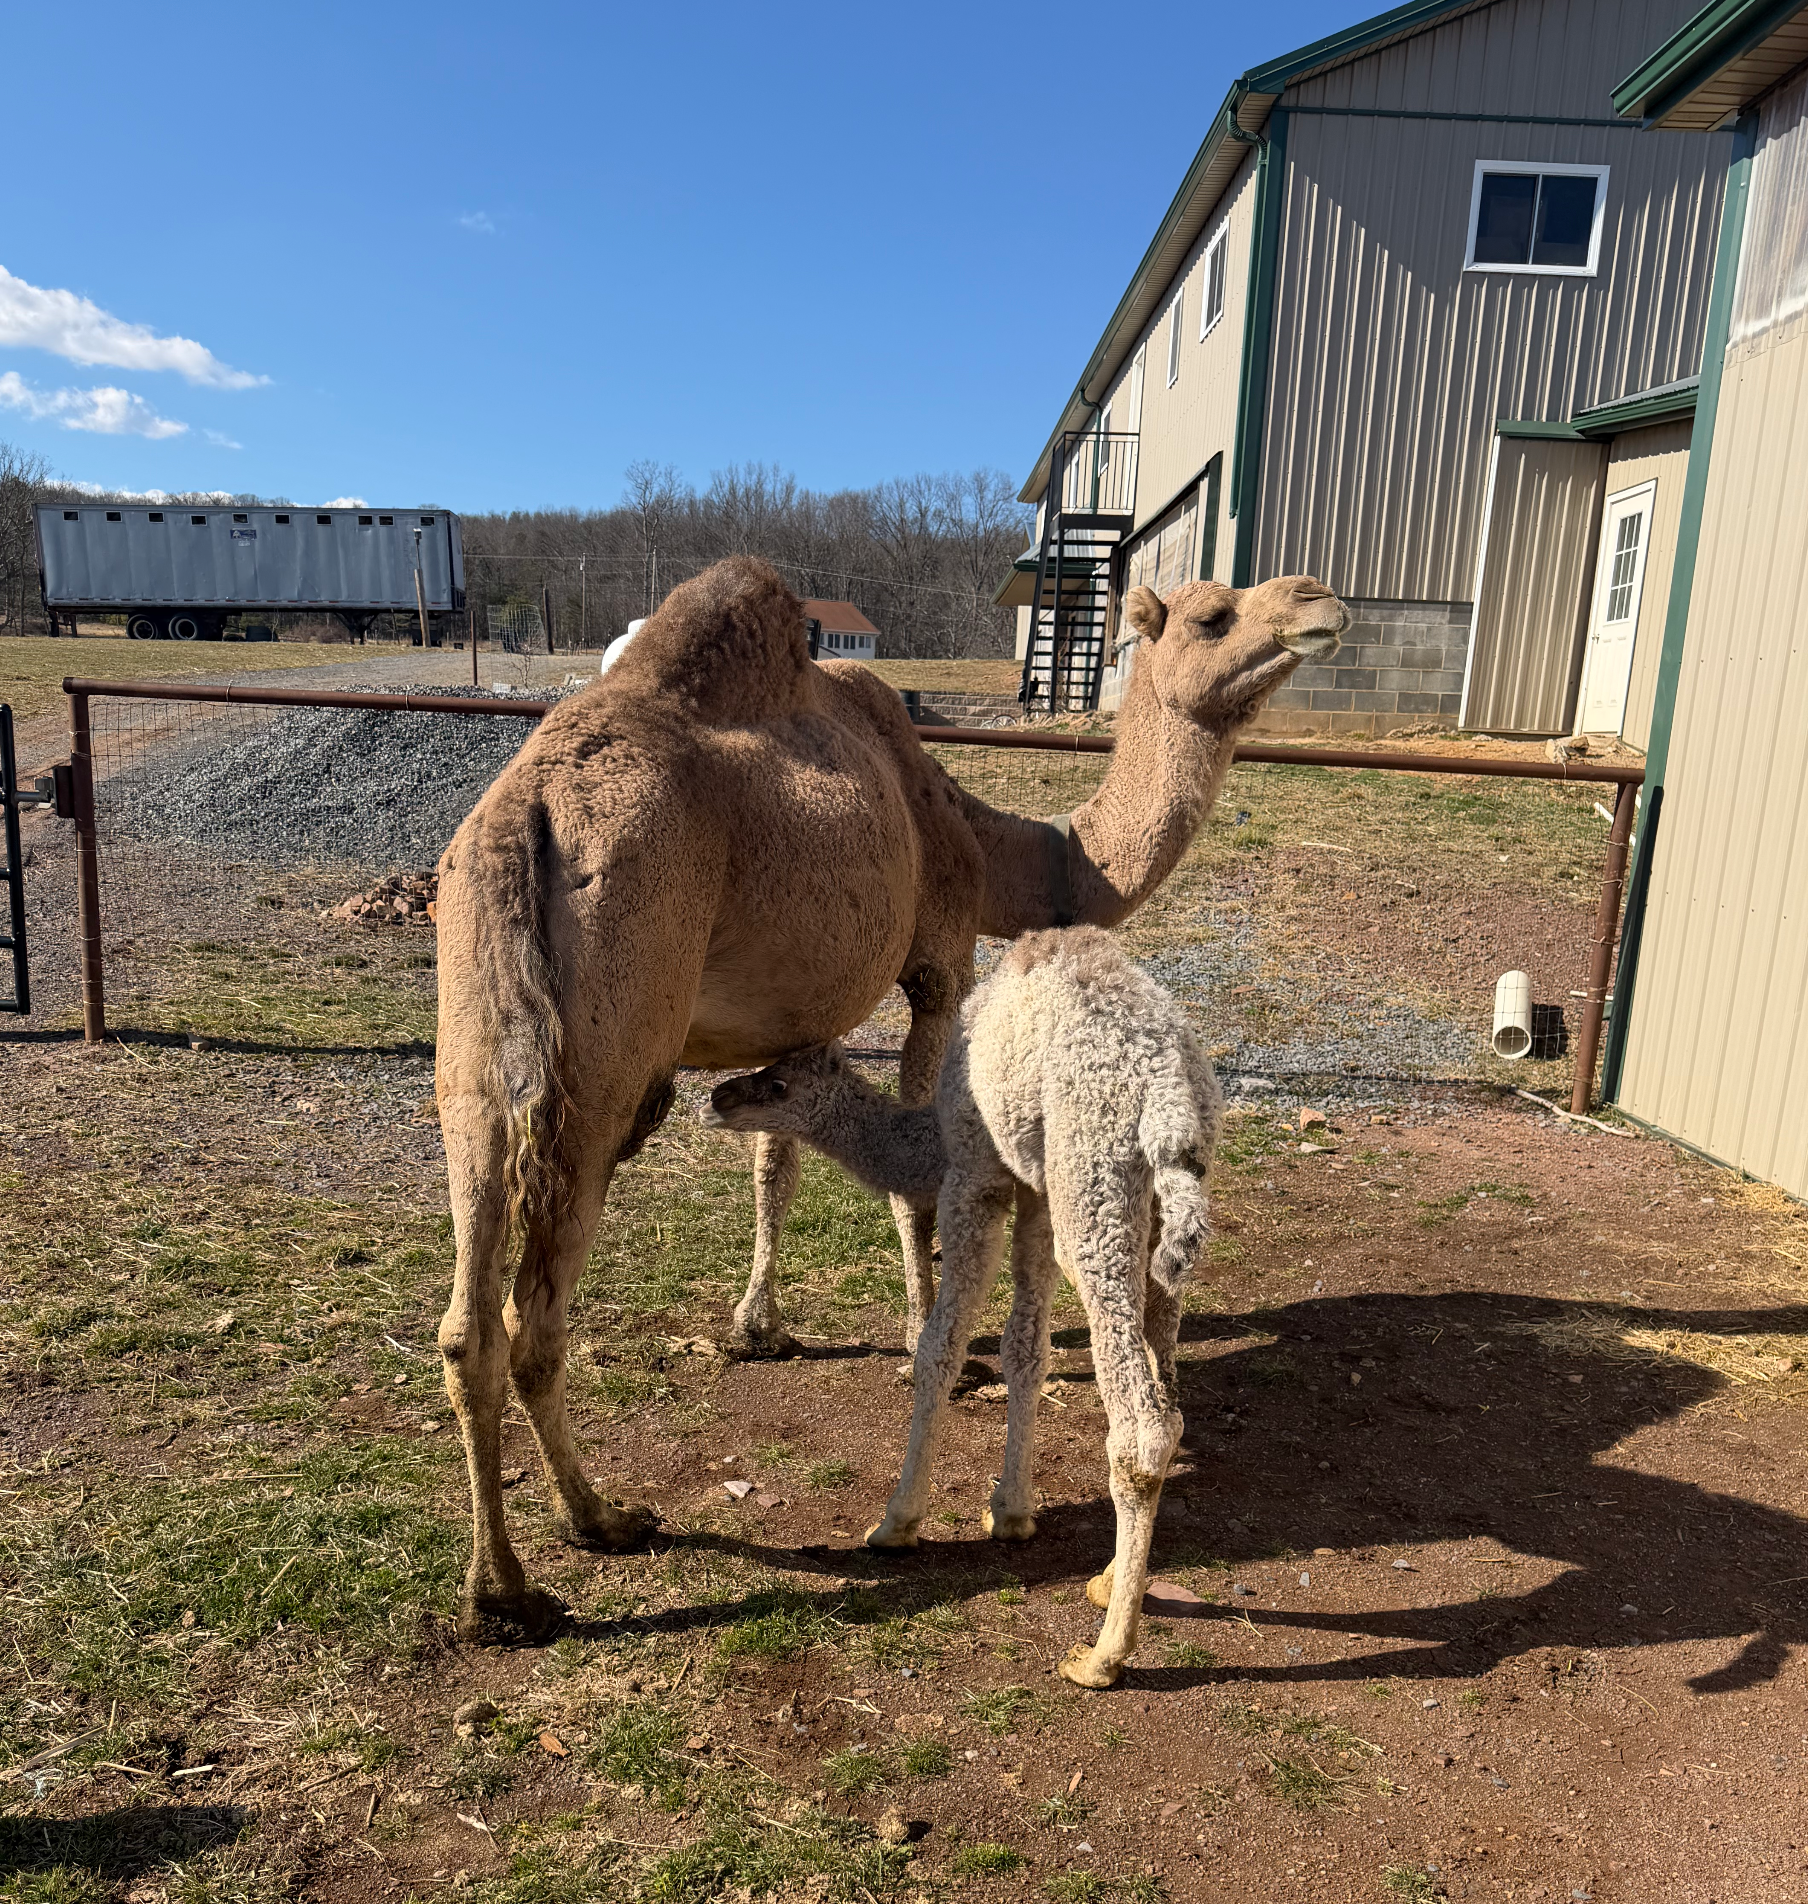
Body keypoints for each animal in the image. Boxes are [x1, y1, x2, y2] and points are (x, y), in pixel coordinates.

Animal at [706, 925, 1219, 1688]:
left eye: (777, 1083)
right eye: (765, 1066)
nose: (718, 1096)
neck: (931, 1136)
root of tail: (1171, 1095)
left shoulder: (975, 1177)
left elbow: (939, 1348)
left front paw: (897, 1523)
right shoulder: (1031, 1190)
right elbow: (1024, 1349)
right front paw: (1011, 1511)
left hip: (1093, 1190)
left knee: (1140, 1424)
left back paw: (1102, 1655)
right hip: (1152, 1212)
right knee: (1166, 1383)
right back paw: (1107, 1580)